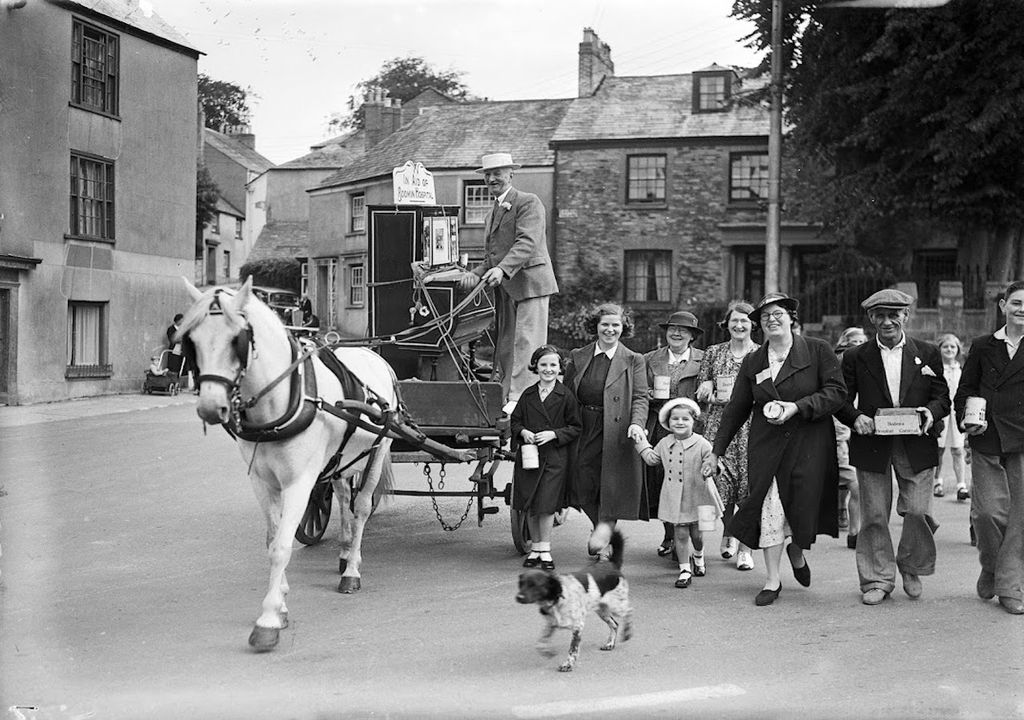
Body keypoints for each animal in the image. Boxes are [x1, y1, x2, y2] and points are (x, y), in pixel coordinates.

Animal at [180, 280, 395, 655]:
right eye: (192, 339)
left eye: (237, 339)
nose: (210, 407)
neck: (282, 400)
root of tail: (374, 355)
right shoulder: (261, 481)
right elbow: (272, 539)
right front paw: (280, 602)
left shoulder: (299, 481)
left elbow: (281, 547)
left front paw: (267, 620)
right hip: (340, 458)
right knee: (343, 497)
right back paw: (344, 551)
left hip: (379, 448)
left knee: (362, 507)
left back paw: (351, 569)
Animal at [516, 532, 626, 671]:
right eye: (521, 584)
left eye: (534, 585)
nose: (518, 597)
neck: (557, 599)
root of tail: (611, 564)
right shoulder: (552, 624)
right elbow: (540, 643)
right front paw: (547, 652)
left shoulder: (577, 627)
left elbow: (573, 649)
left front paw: (568, 664)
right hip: (602, 611)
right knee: (615, 624)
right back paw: (610, 643)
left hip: (617, 605)